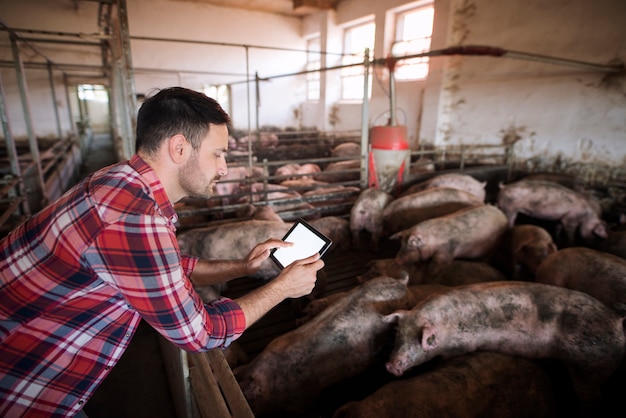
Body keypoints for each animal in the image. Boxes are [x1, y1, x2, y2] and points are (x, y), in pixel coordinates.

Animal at [382, 280, 620, 404]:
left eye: (422, 341)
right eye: (398, 336)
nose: (391, 366)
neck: (447, 325)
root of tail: (617, 322)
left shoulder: (461, 346)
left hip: (588, 365)